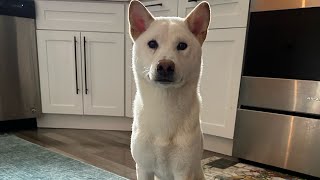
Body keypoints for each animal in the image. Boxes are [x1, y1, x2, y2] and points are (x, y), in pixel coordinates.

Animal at [127, 0, 210, 179]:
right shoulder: (143, 168)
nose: (165, 66)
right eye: (152, 44)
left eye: (182, 46)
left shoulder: (183, 171)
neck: (164, 104)